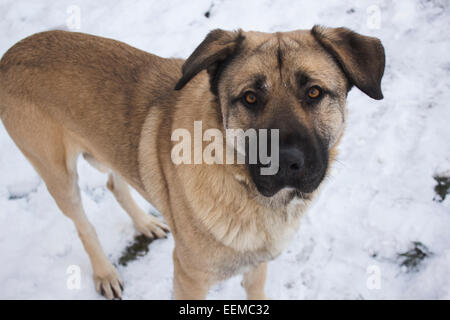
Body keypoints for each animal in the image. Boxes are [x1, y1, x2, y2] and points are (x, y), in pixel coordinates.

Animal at [0, 27, 384, 300]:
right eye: (250, 98)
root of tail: (10, 54)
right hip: (57, 174)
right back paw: (105, 273)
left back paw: (144, 223)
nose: (287, 162)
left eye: (314, 92)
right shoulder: (189, 277)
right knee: (83, 224)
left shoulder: (255, 267)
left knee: (114, 182)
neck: (238, 181)